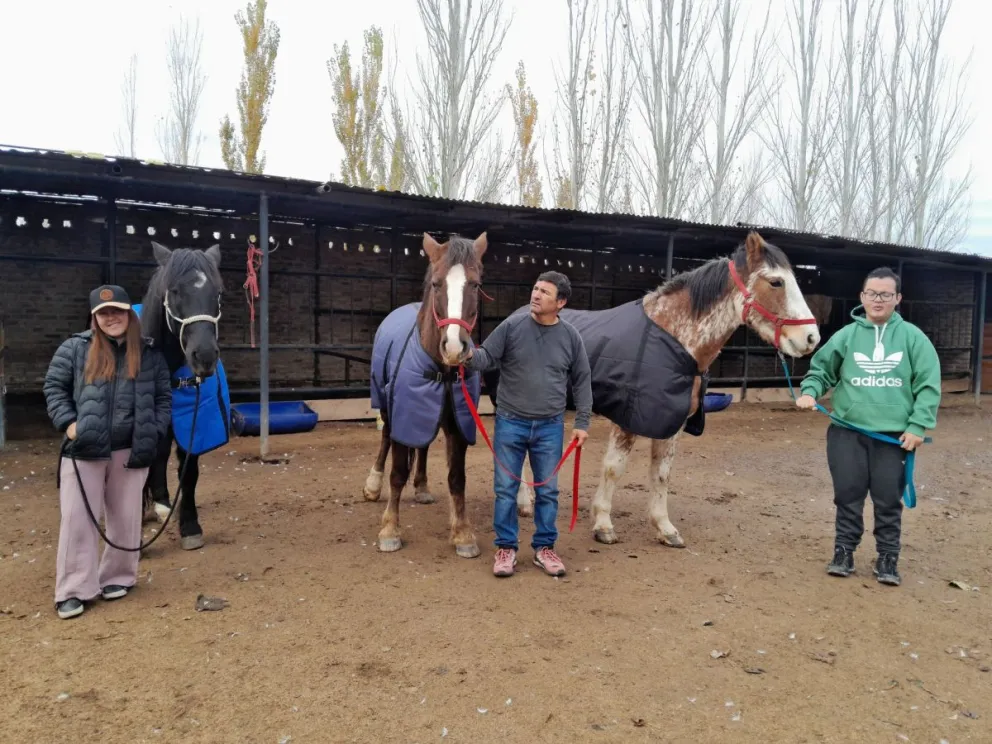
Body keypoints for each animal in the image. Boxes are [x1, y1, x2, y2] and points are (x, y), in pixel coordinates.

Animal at [138, 241, 226, 551]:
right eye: (175, 290)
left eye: (218, 293)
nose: (205, 356)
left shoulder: (194, 419)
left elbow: (188, 472)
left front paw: (190, 527)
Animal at [361, 232, 488, 558]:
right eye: (436, 284)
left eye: (475, 284)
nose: (455, 348)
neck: (441, 370)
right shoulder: (403, 412)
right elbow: (397, 473)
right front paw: (390, 530)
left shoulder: (458, 423)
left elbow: (457, 477)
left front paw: (462, 533)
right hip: (386, 405)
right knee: (385, 440)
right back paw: (373, 485)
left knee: (424, 446)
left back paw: (421, 487)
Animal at [486, 231, 821, 548]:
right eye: (776, 282)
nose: (811, 338)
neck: (674, 338)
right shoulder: (626, 418)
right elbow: (613, 468)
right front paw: (603, 525)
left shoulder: (672, 422)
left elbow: (661, 474)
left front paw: (665, 529)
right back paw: (523, 503)